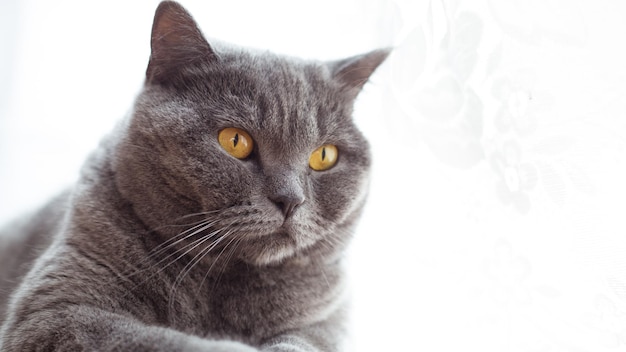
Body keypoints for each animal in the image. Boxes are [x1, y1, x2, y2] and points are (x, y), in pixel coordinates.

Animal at [0, 1, 388, 350]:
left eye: (324, 156)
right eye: (235, 141)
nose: (290, 199)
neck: (221, 286)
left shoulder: (325, 323)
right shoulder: (57, 310)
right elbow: (171, 341)